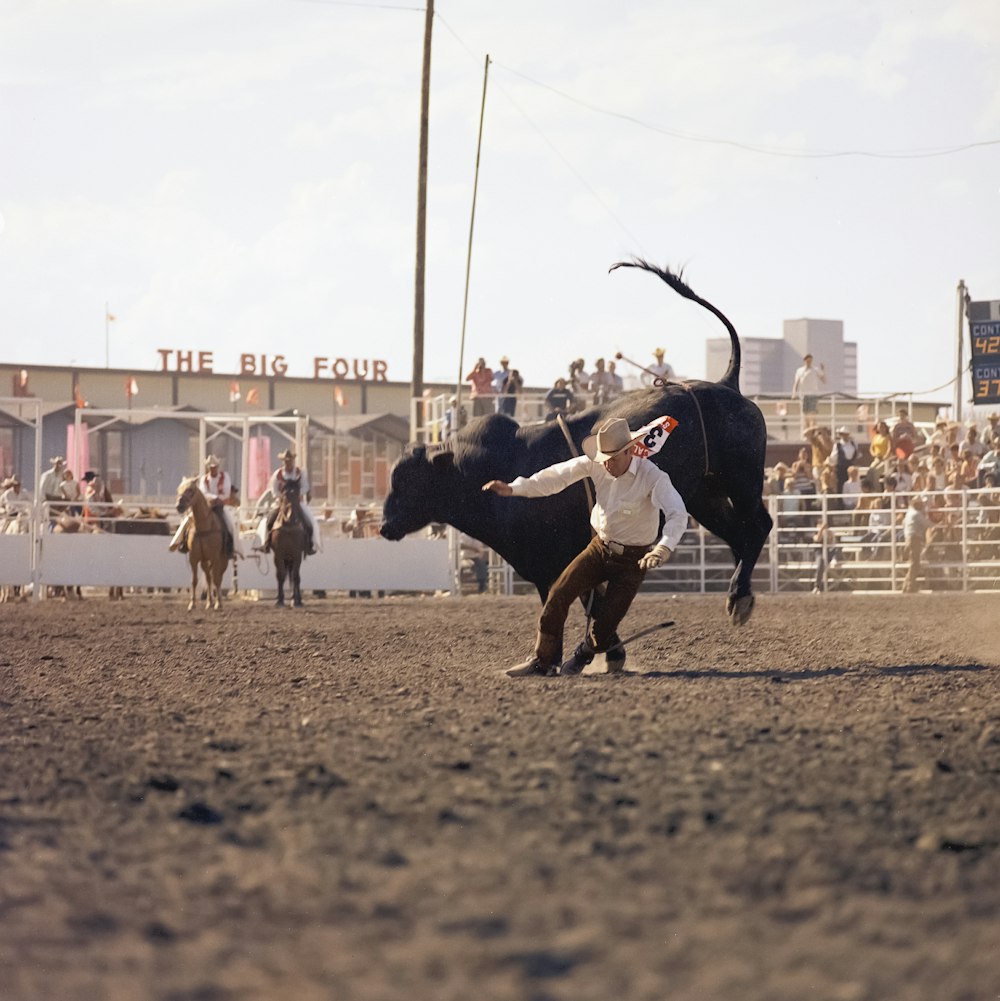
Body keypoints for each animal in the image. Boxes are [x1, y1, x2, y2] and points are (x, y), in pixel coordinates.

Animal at [178, 476, 230, 608]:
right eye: (178, 489)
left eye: (190, 490)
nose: (179, 506)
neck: (204, 527)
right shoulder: (194, 558)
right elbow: (194, 580)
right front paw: (192, 604)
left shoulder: (215, 557)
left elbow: (216, 579)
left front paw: (218, 604)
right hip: (204, 561)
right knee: (208, 577)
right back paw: (209, 602)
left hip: (223, 560)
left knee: (217, 577)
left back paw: (217, 601)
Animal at [270, 472, 304, 604]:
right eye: (284, 493)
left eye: (297, 493)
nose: (290, 515)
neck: (289, 525)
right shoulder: (278, 554)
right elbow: (280, 575)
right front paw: (280, 600)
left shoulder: (297, 553)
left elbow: (296, 576)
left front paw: (298, 601)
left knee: (294, 575)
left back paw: (295, 597)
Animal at [382, 258, 772, 624]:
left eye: (407, 481)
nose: (384, 525)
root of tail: (726, 384)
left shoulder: (550, 567)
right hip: (704, 495)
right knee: (737, 534)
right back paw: (739, 593)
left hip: (743, 481)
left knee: (758, 526)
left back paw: (739, 595)